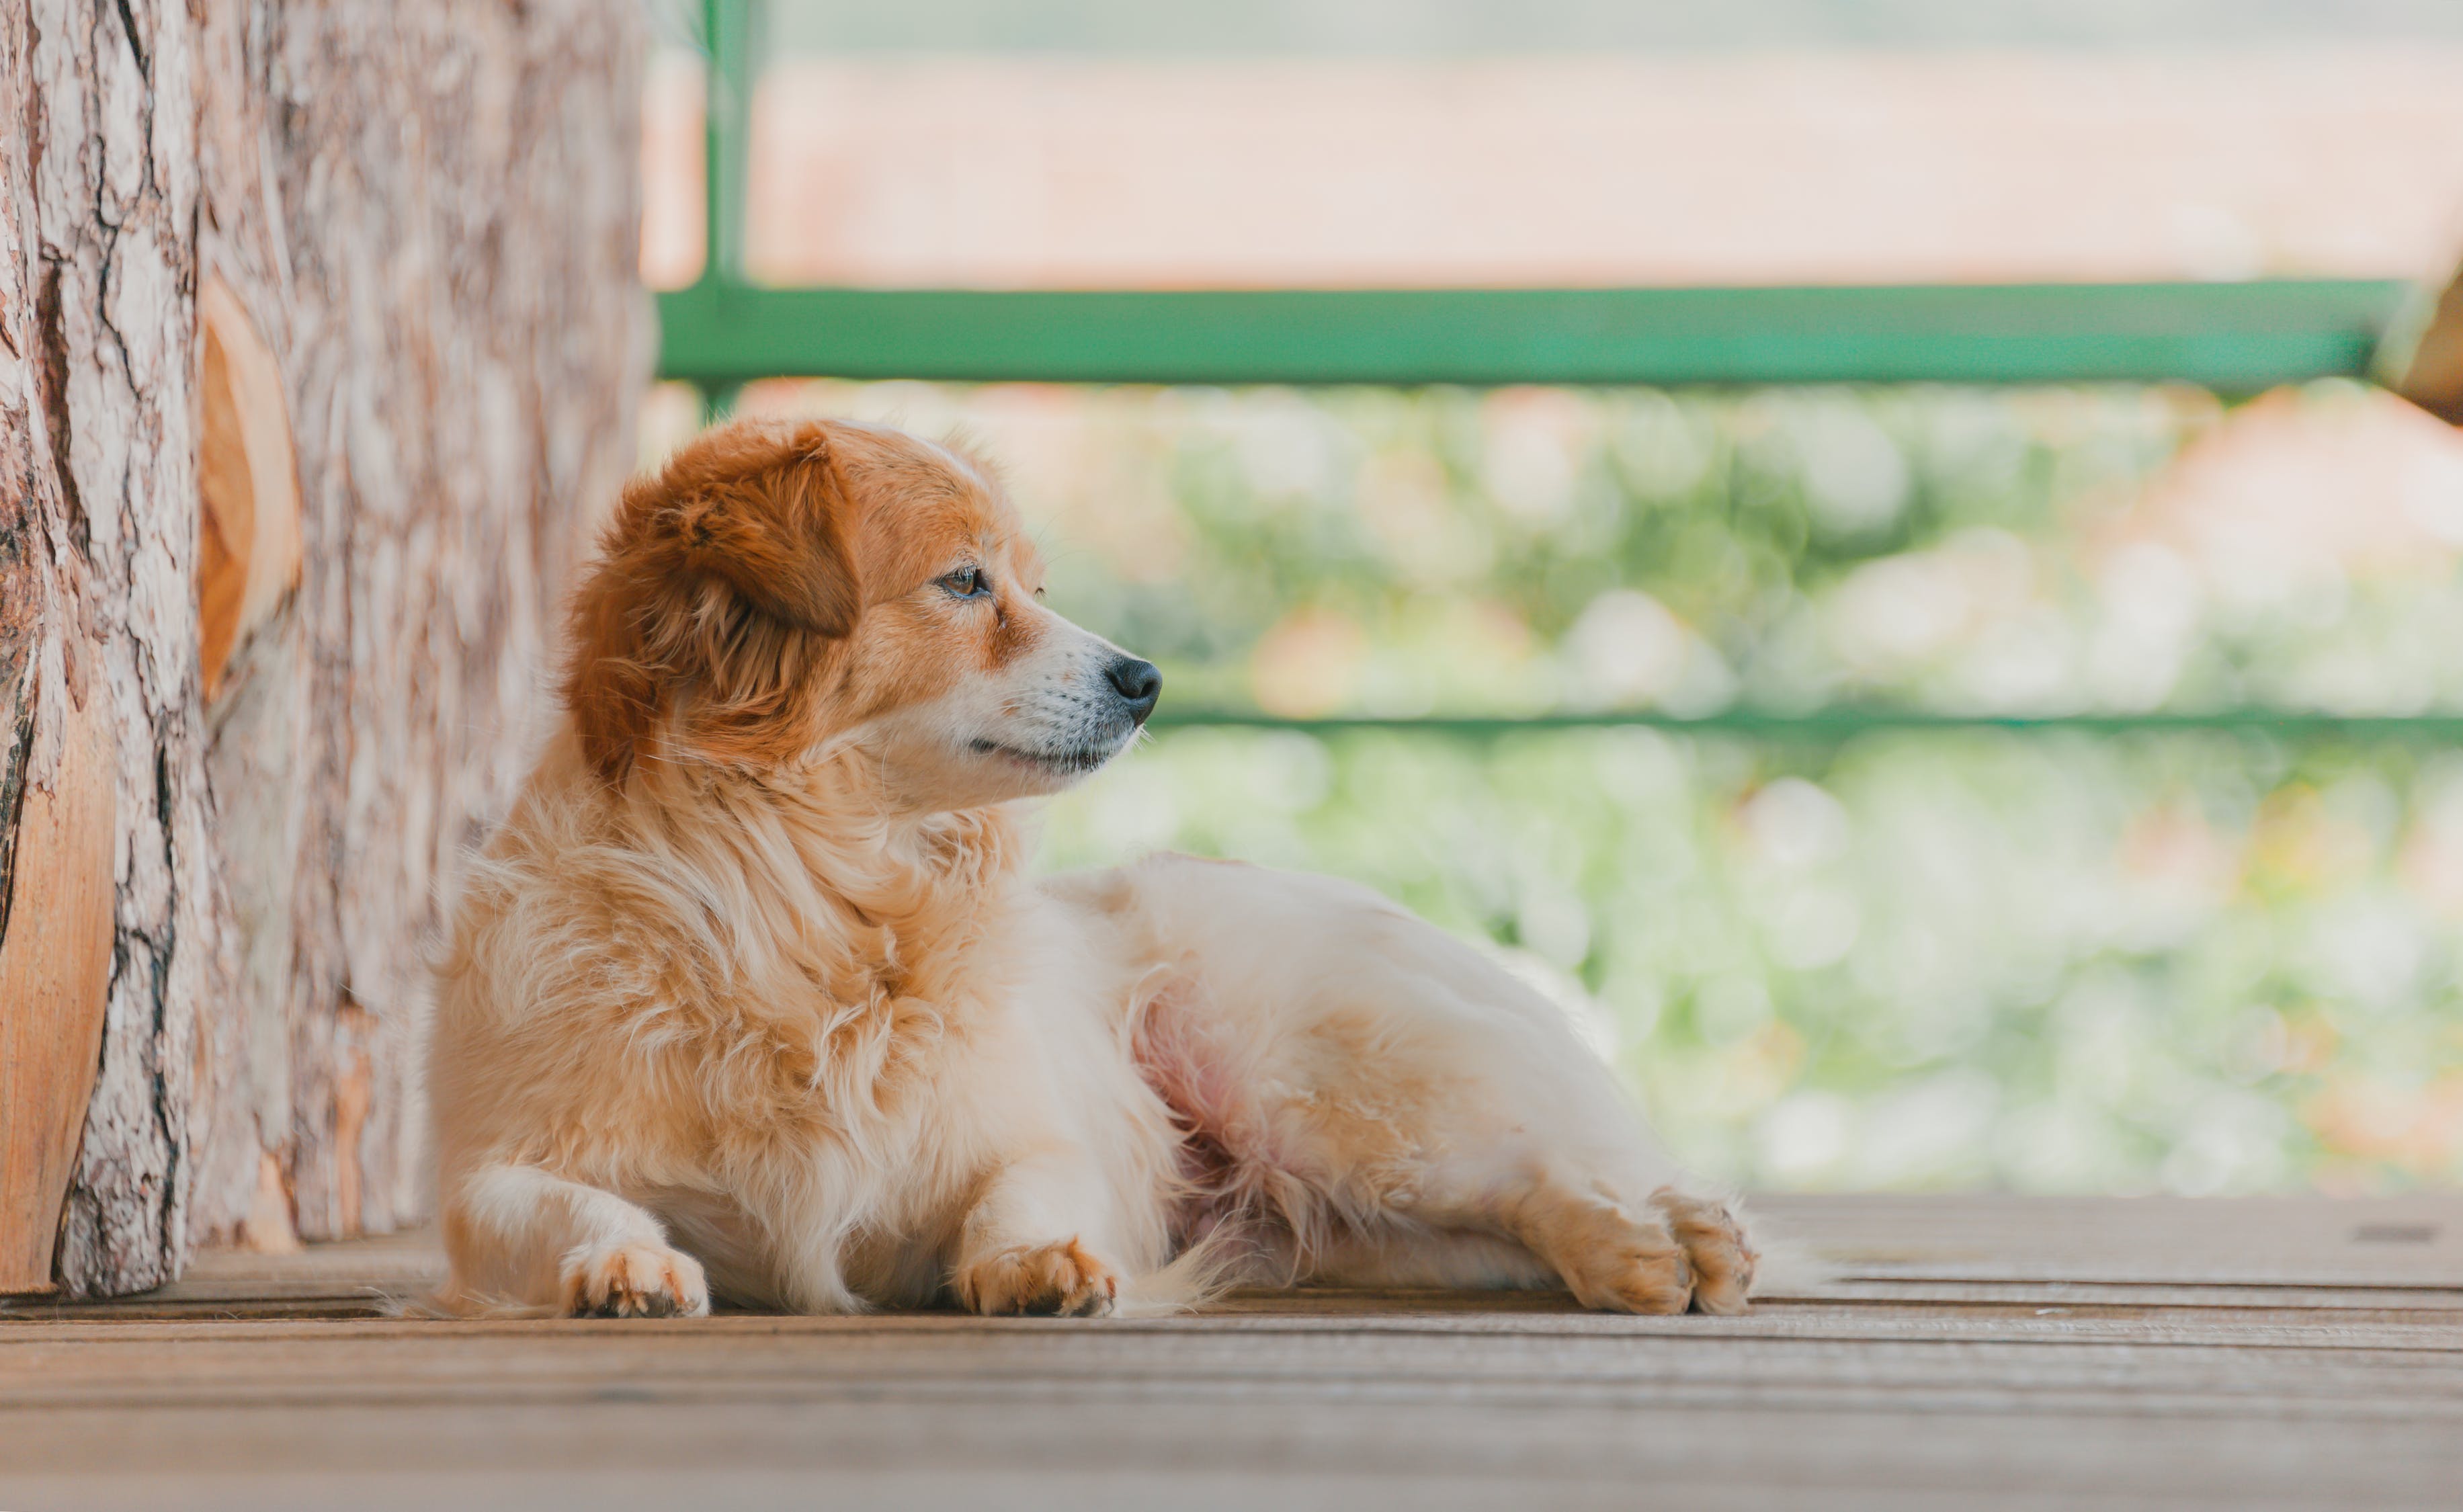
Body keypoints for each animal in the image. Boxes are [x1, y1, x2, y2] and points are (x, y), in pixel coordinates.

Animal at [433, 421, 1763, 1320]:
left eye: (1034, 584)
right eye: (964, 582)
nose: (1148, 680)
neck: (807, 898)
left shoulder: (1034, 1135)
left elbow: (1022, 1190)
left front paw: (1032, 1263)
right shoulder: (490, 1173)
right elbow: (553, 1204)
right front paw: (619, 1260)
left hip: (1329, 1105)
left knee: (1533, 1167)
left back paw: (1655, 1242)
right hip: (1363, 1219)